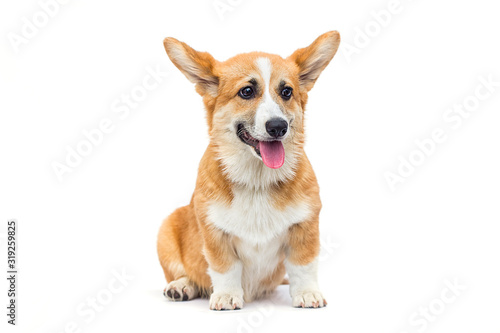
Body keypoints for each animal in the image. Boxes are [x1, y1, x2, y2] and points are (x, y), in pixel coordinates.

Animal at [158, 31, 342, 308]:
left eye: (286, 91)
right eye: (246, 91)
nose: (277, 127)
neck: (257, 180)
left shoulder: (306, 225)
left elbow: (303, 265)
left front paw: (307, 293)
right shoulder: (214, 232)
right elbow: (224, 267)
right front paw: (226, 296)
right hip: (166, 230)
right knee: (185, 273)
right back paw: (182, 286)